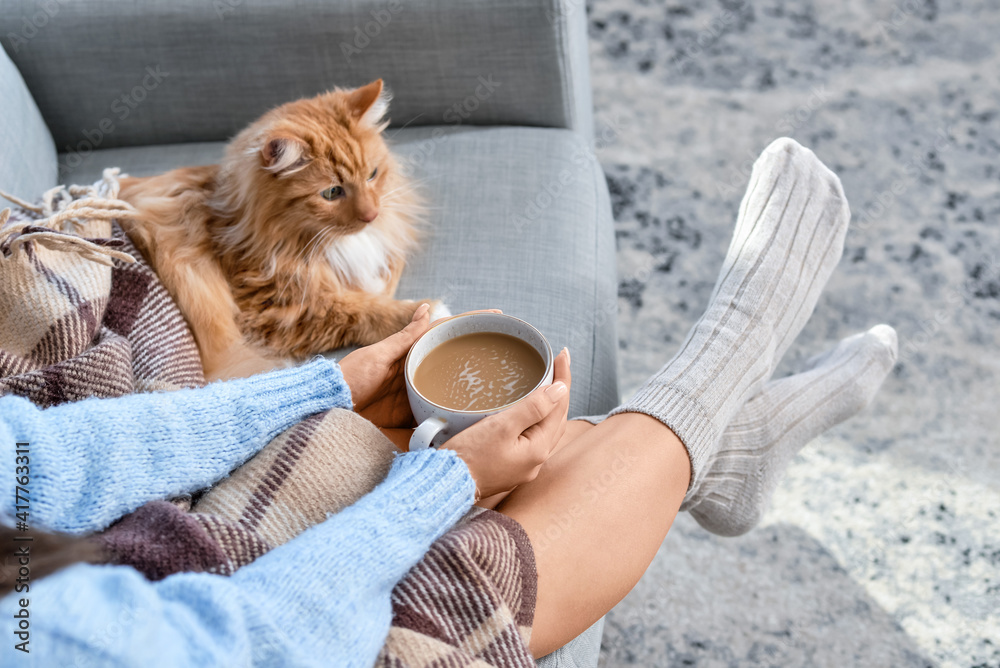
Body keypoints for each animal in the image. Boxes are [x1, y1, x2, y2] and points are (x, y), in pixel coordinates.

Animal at [118, 79, 434, 376]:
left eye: (372, 175)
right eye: (332, 193)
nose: (372, 215)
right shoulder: (271, 311)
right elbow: (358, 309)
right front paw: (423, 310)